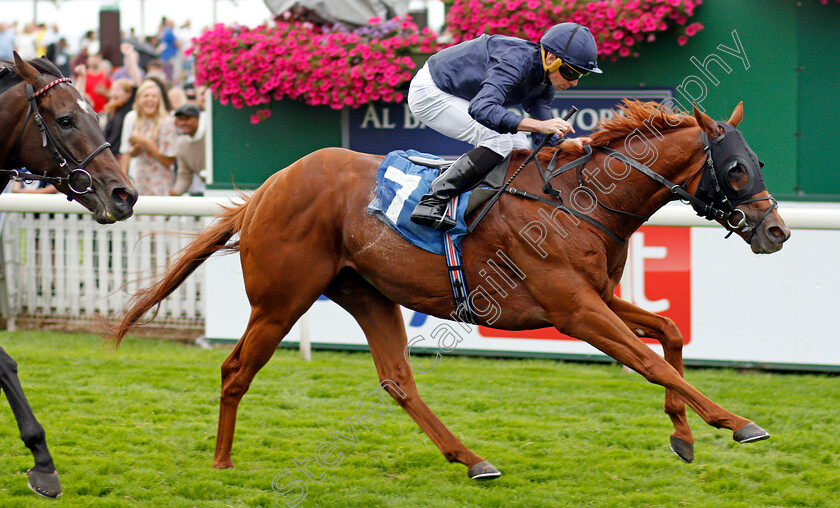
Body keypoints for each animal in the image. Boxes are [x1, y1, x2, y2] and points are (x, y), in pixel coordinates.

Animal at [110, 100, 788, 480]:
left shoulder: (598, 295)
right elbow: (652, 362)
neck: (580, 199)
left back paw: (472, 459)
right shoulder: (573, 308)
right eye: (734, 167)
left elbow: (669, 333)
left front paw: (684, 435)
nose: (776, 230)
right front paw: (735, 421)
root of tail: (265, 191)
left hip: (368, 293)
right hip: (281, 301)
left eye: (758, 160)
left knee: (396, 381)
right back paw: (222, 463)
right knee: (235, 370)